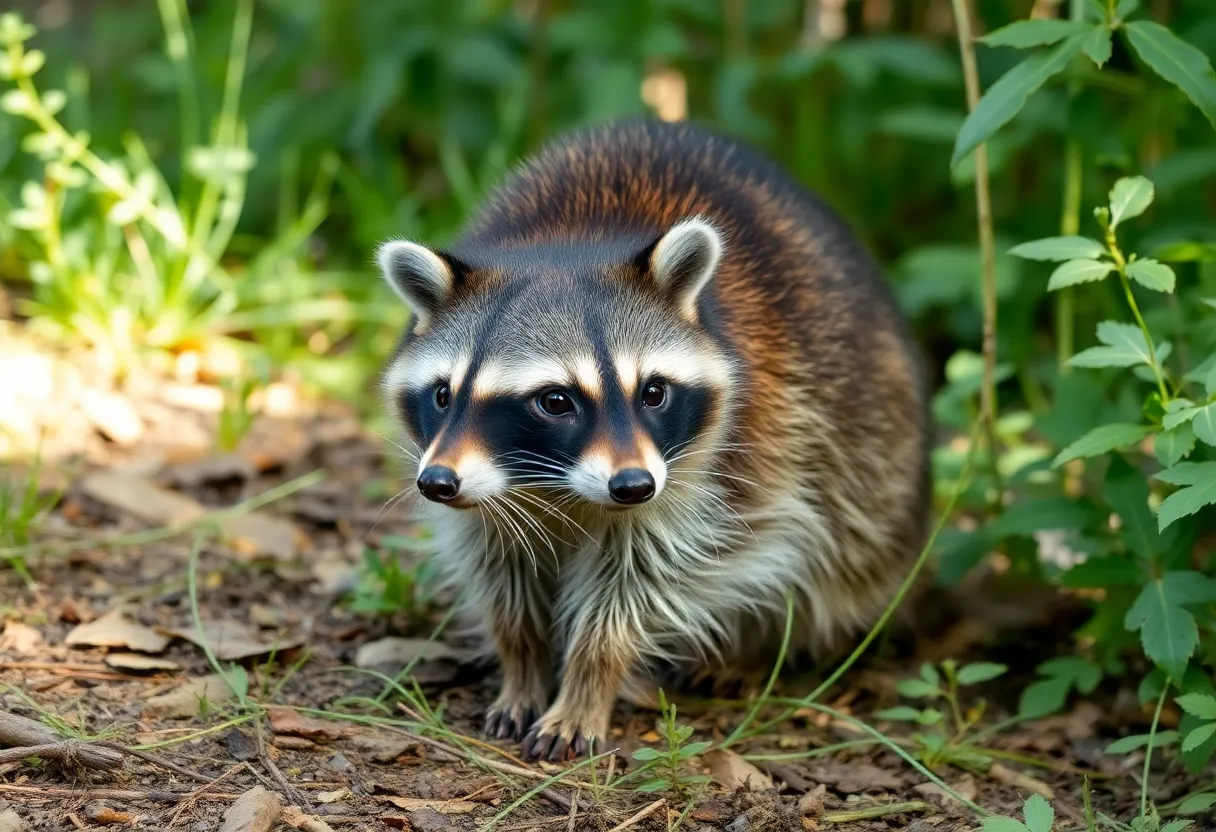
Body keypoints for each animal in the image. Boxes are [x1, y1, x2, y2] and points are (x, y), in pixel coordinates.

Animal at [374, 116, 924, 759]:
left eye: (652, 392)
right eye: (443, 395)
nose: (437, 483)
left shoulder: (716, 468)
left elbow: (643, 584)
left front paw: (588, 681)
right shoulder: (478, 487)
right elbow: (503, 577)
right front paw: (522, 666)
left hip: (866, 461)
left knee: (822, 551)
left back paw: (756, 650)